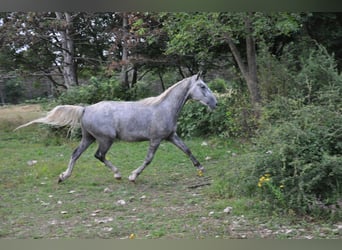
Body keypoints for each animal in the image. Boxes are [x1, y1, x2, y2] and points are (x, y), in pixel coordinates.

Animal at [15, 73, 216, 183]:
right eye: (202, 86)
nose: (215, 103)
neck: (163, 108)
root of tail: (85, 108)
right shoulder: (156, 139)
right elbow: (148, 159)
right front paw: (133, 176)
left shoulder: (171, 136)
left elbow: (187, 150)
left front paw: (201, 168)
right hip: (105, 139)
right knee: (99, 155)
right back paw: (118, 174)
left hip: (88, 138)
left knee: (75, 154)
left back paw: (63, 176)